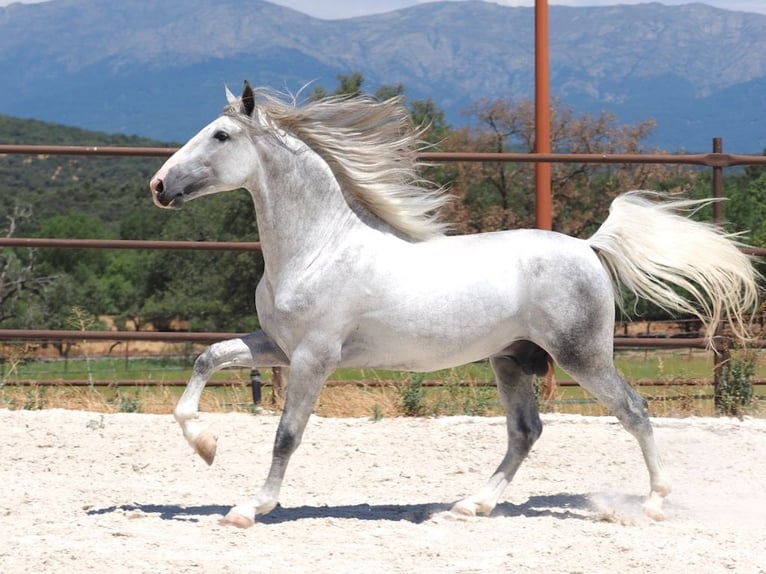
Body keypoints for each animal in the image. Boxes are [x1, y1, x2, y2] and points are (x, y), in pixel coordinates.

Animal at [149, 82, 759, 528]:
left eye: (221, 135)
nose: (158, 185)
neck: (319, 248)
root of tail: (589, 246)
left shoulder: (313, 357)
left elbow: (287, 433)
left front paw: (248, 508)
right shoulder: (277, 346)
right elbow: (207, 358)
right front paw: (205, 445)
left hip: (582, 355)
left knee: (634, 411)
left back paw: (653, 504)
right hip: (512, 359)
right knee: (525, 431)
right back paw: (472, 505)